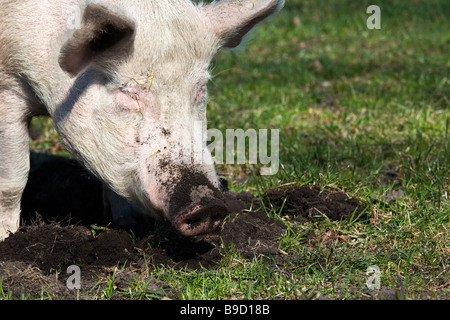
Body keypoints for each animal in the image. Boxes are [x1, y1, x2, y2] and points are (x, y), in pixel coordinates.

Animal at [0, 0, 282, 240]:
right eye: (130, 94)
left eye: (201, 89)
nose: (207, 205)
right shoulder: (8, 88)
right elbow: (14, 180)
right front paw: (7, 238)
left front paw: (132, 224)